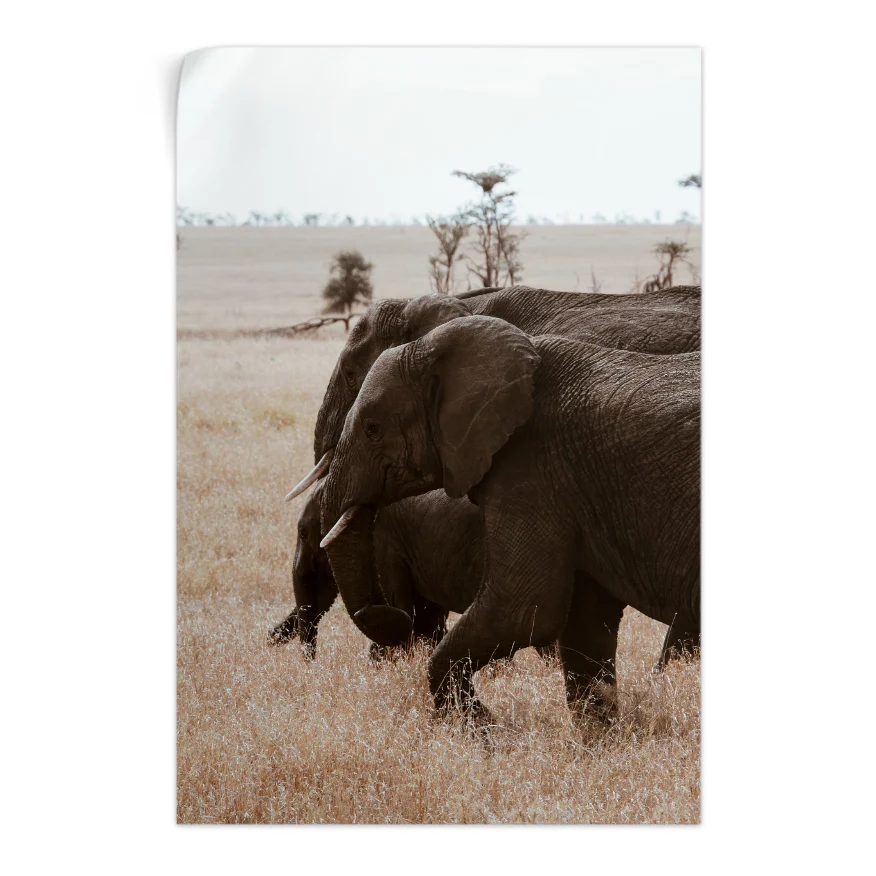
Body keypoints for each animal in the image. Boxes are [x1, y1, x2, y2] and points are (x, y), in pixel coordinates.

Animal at [318, 315, 699, 721]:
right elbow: (585, 622)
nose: (390, 612)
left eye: (372, 429)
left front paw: (480, 726)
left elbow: (523, 608)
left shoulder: (532, 467)